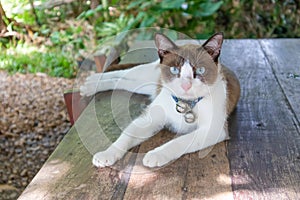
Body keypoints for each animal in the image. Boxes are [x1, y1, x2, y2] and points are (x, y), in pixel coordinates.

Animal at [80, 32, 241, 167]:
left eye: (200, 70)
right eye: (174, 70)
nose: (186, 85)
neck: (184, 103)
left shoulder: (213, 129)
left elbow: (179, 141)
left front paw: (156, 154)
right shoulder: (148, 119)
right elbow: (127, 135)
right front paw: (108, 153)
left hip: (146, 85)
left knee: (122, 82)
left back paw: (90, 85)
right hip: (145, 75)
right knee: (123, 74)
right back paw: (91, 82)